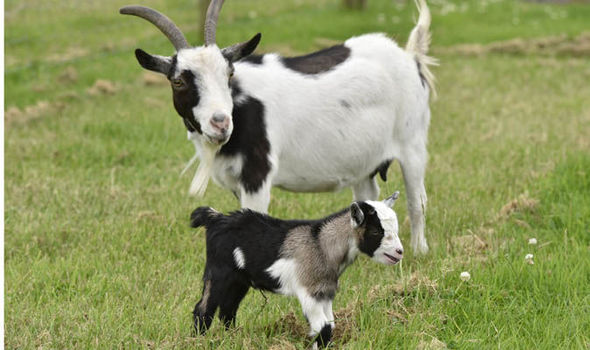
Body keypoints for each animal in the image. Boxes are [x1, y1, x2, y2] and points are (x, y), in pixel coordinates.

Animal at [119, 0, 434, 252]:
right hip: (363, 162)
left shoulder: (256, 173)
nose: (220, 122)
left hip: (413, 143)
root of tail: (410, 58)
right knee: (368, 196)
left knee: (417, 202)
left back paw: (419, 251)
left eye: (229, 73)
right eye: (178, 81)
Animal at [192, 191, 404, 348]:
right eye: (376, 231)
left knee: (228, 309)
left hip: (239, 280)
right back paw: (197, 341)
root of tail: (216, 218)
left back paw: (232, 338)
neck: (321, 245)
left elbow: (330, 325)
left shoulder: (325, 292)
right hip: (219, 272)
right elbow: (322, 328)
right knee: (203, 309)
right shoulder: (310, 291)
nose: (399, 252)